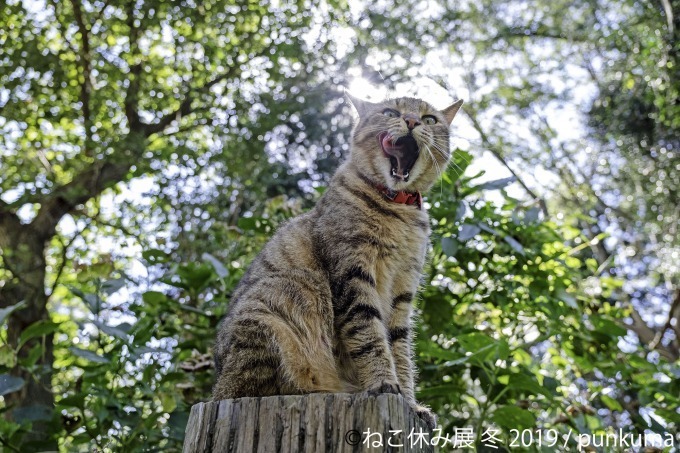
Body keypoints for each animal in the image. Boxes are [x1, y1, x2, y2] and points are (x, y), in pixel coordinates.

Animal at [215, 92, 464, 428]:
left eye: (429, 119)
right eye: (390, 112)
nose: (412, 121)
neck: (399, 209)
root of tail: (217, 390)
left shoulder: (403, 289)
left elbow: (400, 349)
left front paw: (410, 403)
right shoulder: (353, 273)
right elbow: (369, 334)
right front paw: (384, 384)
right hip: (289, 293)